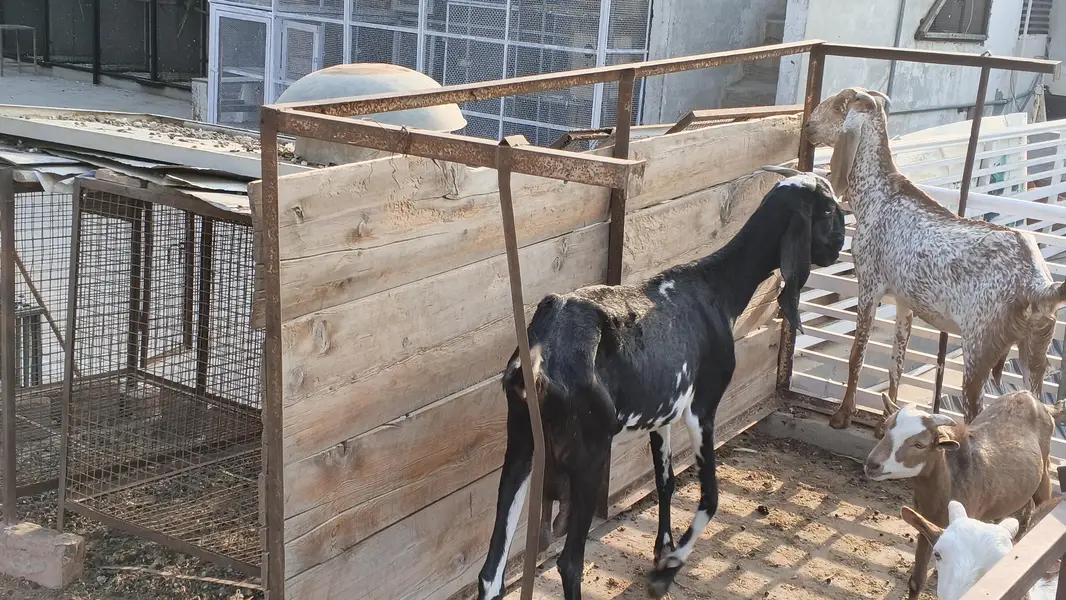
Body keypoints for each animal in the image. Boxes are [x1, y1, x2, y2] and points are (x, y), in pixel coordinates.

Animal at [475, 171, 847, 600]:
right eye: (826, 210)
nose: (840, 245)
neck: (715, 290)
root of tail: (538, 360)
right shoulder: (702, 407)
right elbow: (711, 496)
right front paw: (669, 567)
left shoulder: (662, 415)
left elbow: (665, 482)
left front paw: (662, 547)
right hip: (589, 452)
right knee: (569, 562)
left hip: (522, 444)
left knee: (491, 572)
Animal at [803, 86, 1066, 428]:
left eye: (839, 106)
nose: (808, 126)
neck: (878, 194)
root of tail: (1038, 285)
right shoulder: (905, 301)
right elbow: (896, 363)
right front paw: (886, 420)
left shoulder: (870, 285)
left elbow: (856, 354)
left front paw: (842, 415)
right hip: (1035, 347)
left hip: (979, 346)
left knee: (976, 411)